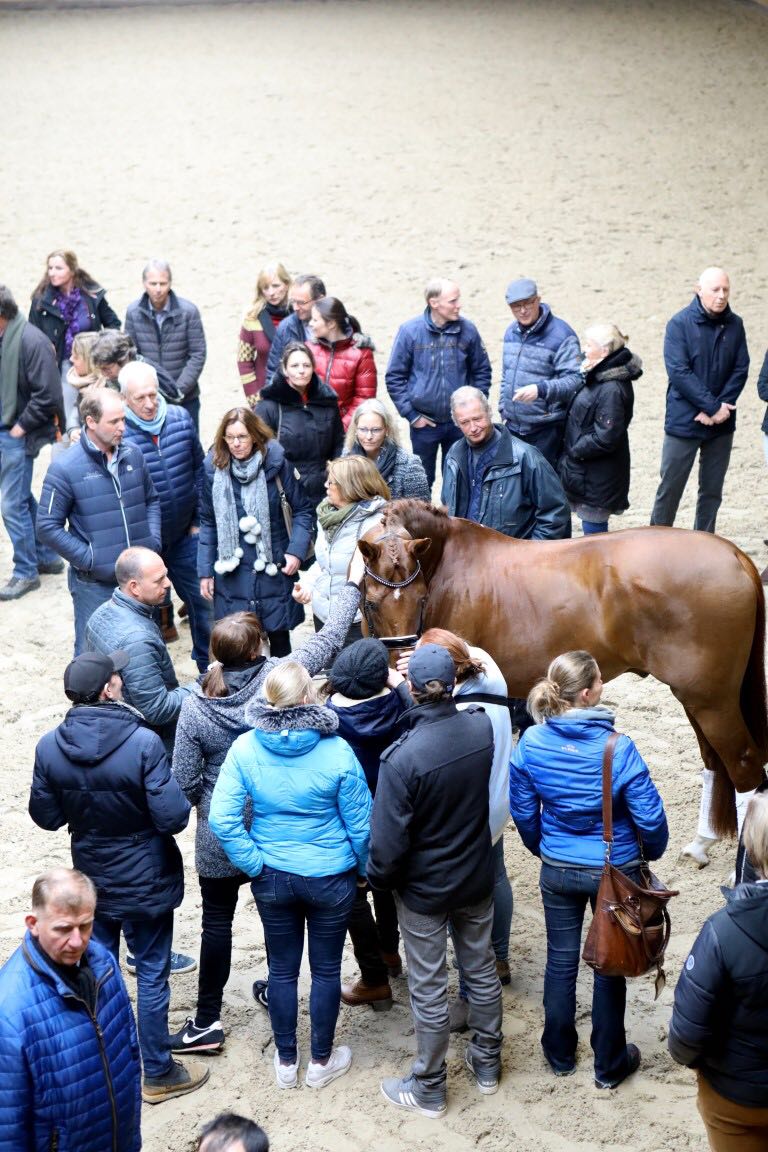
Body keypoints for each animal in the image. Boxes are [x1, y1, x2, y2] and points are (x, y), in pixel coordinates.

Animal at [361, 499, 768, 834]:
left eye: (421, 597)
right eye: (373, 602)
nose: (406, 662)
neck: (448, 564)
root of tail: (735, 554)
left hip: (713, 701)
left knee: (744, 765)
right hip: (696, 697)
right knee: (716, 761)